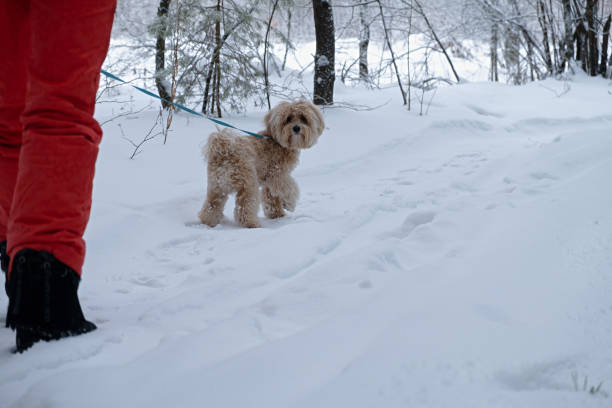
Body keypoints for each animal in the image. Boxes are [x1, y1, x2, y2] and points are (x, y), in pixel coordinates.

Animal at [200, 98, 326, 226]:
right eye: (288, 119)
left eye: (303, 118)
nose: (296, 128)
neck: (278, 142)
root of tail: (224, 151)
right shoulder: (277, 175)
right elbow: (289, 188)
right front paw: (289, 204)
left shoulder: (269, 183)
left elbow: (271, 198)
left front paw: (277, 214)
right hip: (247, 183)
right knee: (244, 206)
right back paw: (251, 223)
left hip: (216, 186)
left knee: (212, 205)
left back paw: (209, 222)